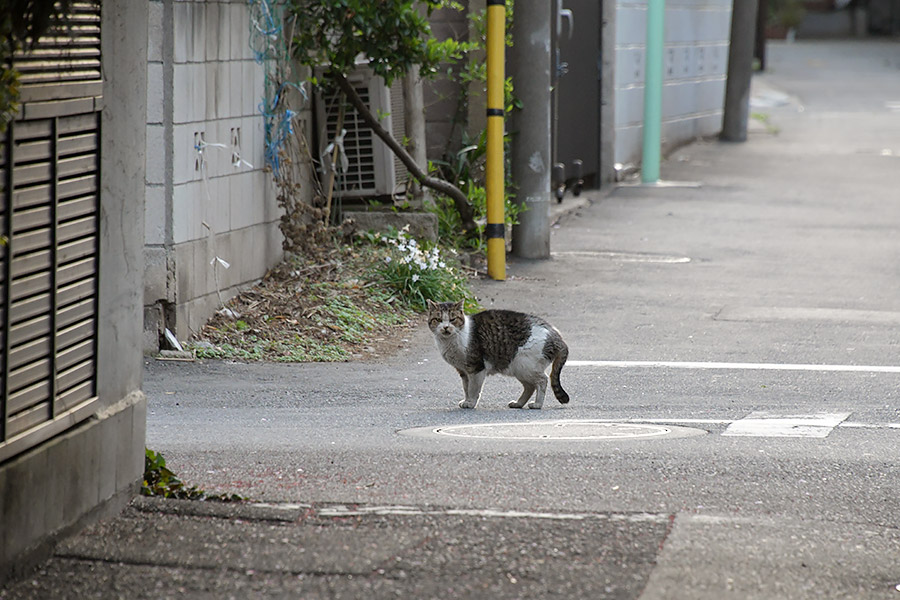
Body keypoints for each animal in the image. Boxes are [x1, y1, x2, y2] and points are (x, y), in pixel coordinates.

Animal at [424, 298, 568, 410]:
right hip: (519, 369)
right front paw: (466, 400)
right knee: (530, 386)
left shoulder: (476, 368)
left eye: (453, 319)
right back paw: (518, 403)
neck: (449, 342)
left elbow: (473, 389)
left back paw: (537, 404)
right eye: (438, 319)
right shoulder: (463, 371)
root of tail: (556, 335)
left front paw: (470, 403)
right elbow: (466, 388)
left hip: (525, 366)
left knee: (543, 380)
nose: (446, 327)